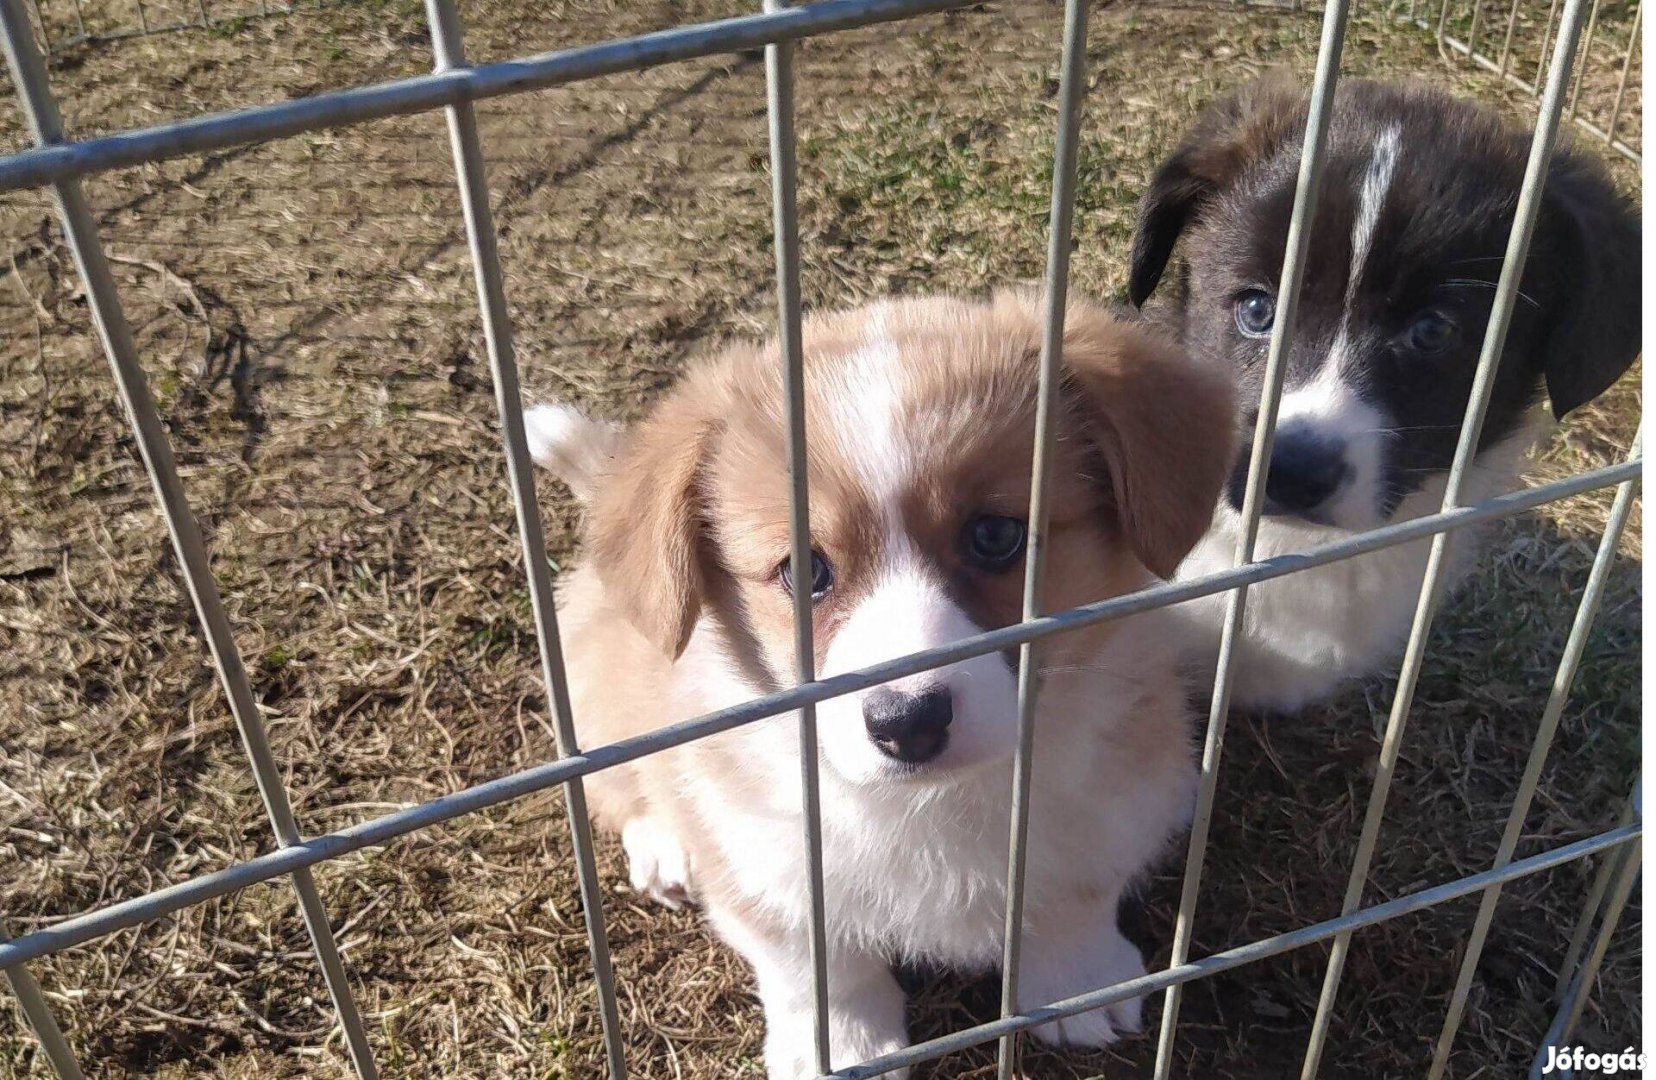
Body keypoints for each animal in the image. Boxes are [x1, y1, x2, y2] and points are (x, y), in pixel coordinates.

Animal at [523, 291, 1238, 1073]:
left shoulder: (1104, 802)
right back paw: (661, 846)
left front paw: (1081, 983)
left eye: (996, 535)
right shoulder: (765, 865)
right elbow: (816, 967)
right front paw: (840, 1047)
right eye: (803, 570)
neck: (934, 805)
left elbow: (1073, 895)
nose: (908, 722)